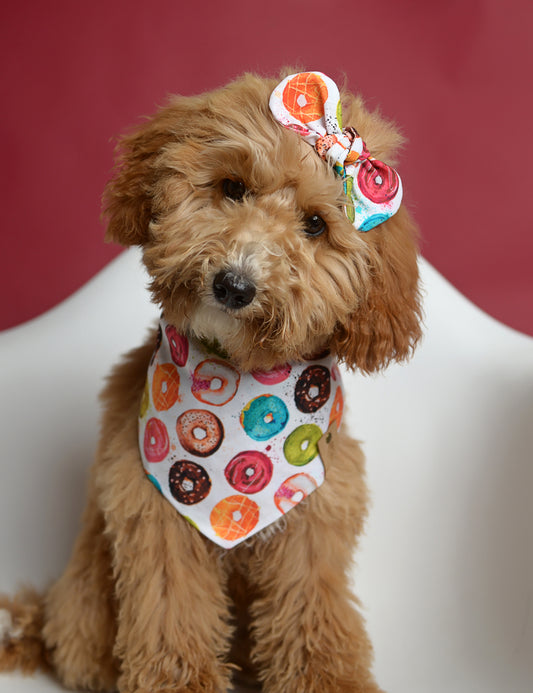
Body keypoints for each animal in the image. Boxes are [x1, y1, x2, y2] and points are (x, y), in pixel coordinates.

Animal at [0, 67, 420, 688]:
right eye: (233, 187)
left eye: (315, 225)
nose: (234, 285)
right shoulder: (156, 515)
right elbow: (172, 619)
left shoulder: (314, 517)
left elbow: (313, 618)